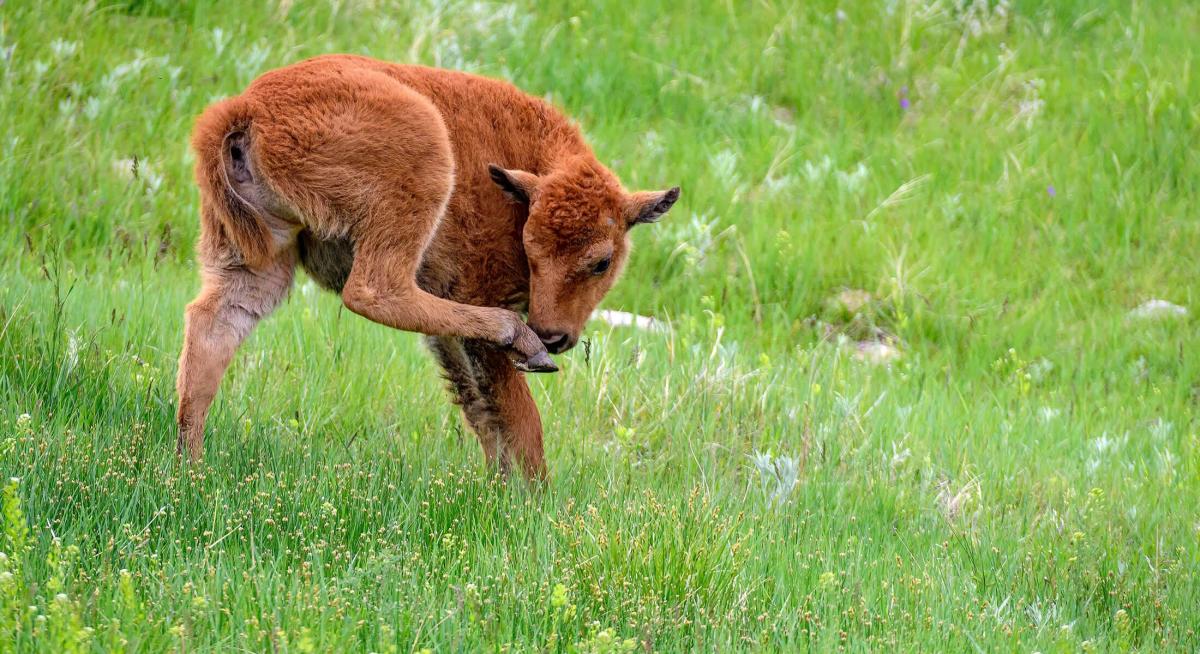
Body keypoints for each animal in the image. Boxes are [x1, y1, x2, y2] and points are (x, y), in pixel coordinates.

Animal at [177, 55, 680, 479]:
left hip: (259, 253)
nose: (552, 335)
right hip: (421, 170)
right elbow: (517, 413)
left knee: (212, 326)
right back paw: (514, 334)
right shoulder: (476, 293)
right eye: (530, 249)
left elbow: (481, 408)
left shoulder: (450, 335)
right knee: (373, 290)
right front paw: (535, 499)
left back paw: (191, 466)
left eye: (601, 262)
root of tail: (247, 105)